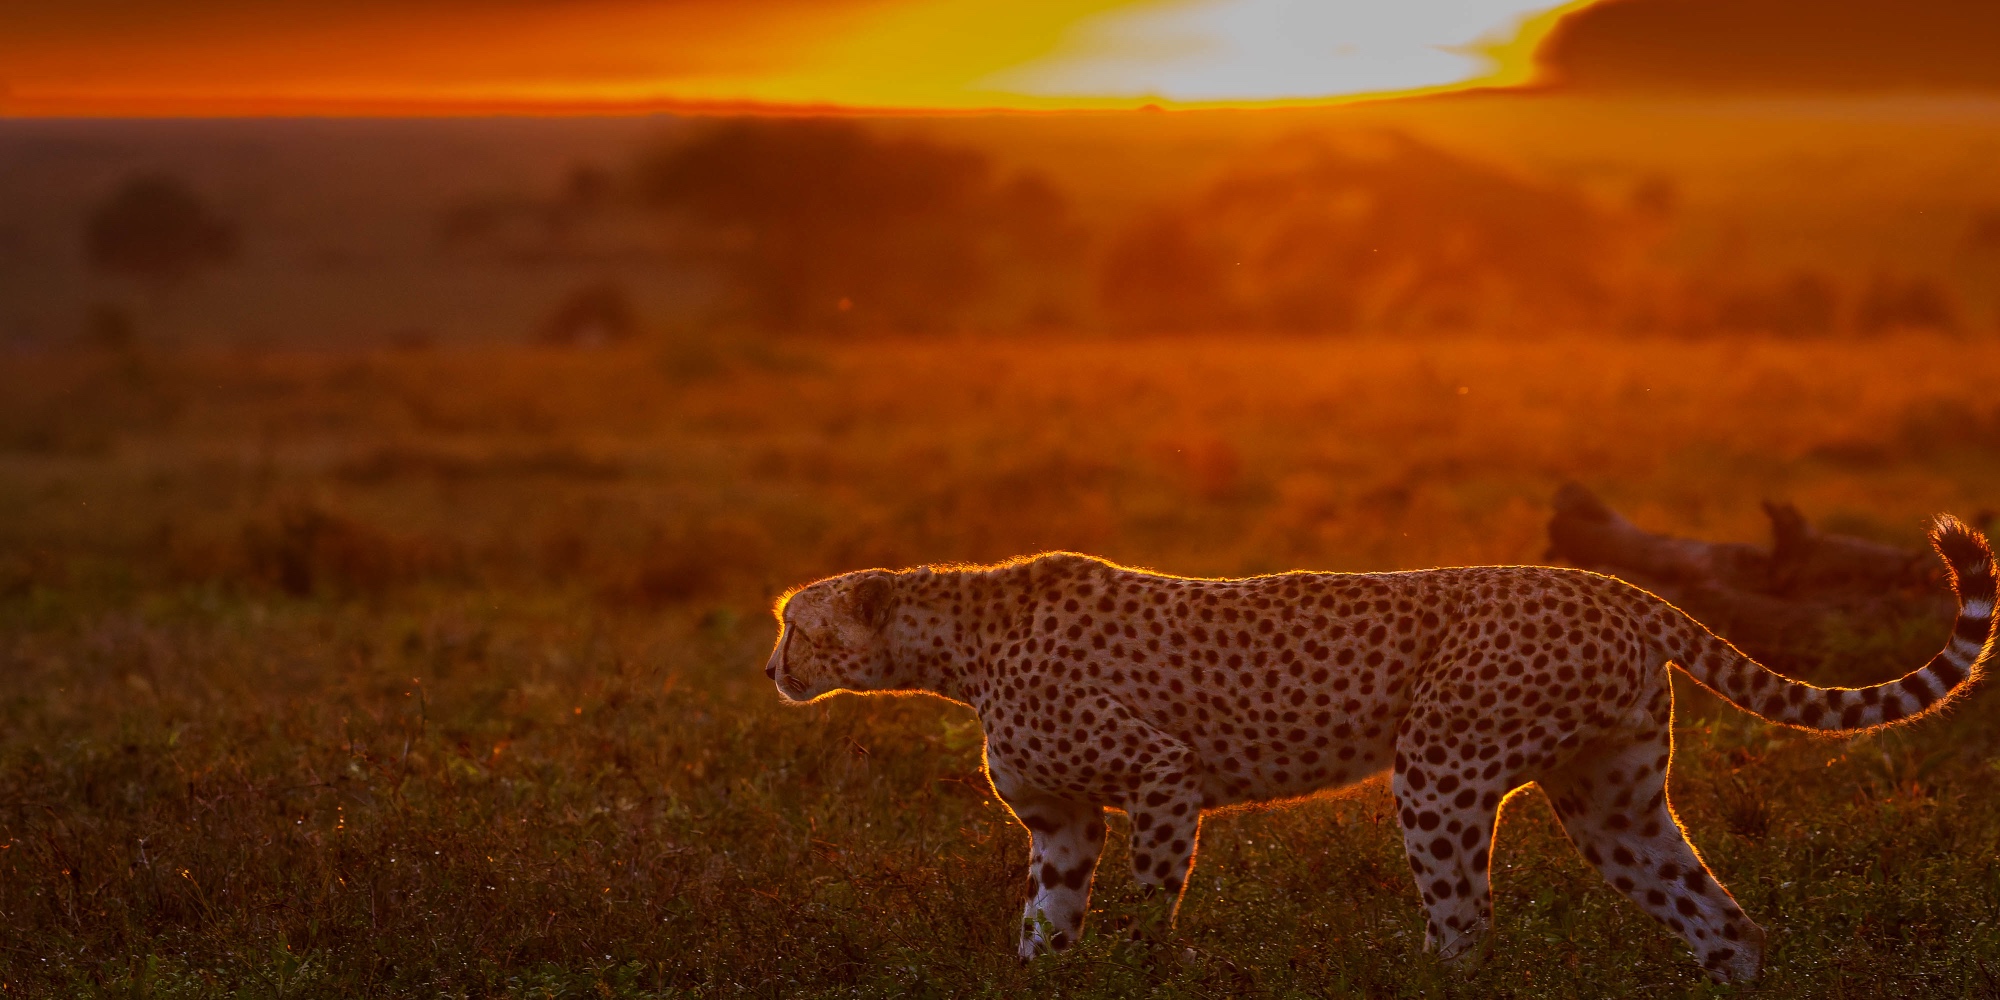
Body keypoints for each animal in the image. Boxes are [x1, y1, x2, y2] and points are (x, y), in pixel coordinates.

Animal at [764, 516, 1995, 983]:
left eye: (797, 624)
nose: (771, 668)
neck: (955, 641)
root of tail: (1609, 581)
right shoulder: (1061, 825)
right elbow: (1043, 926)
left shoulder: (1162, 780)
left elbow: (1142, 908)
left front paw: (1138, 970)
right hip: (1611, 798)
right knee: (1720, 917)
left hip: (1440, 769)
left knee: (1464, 924)